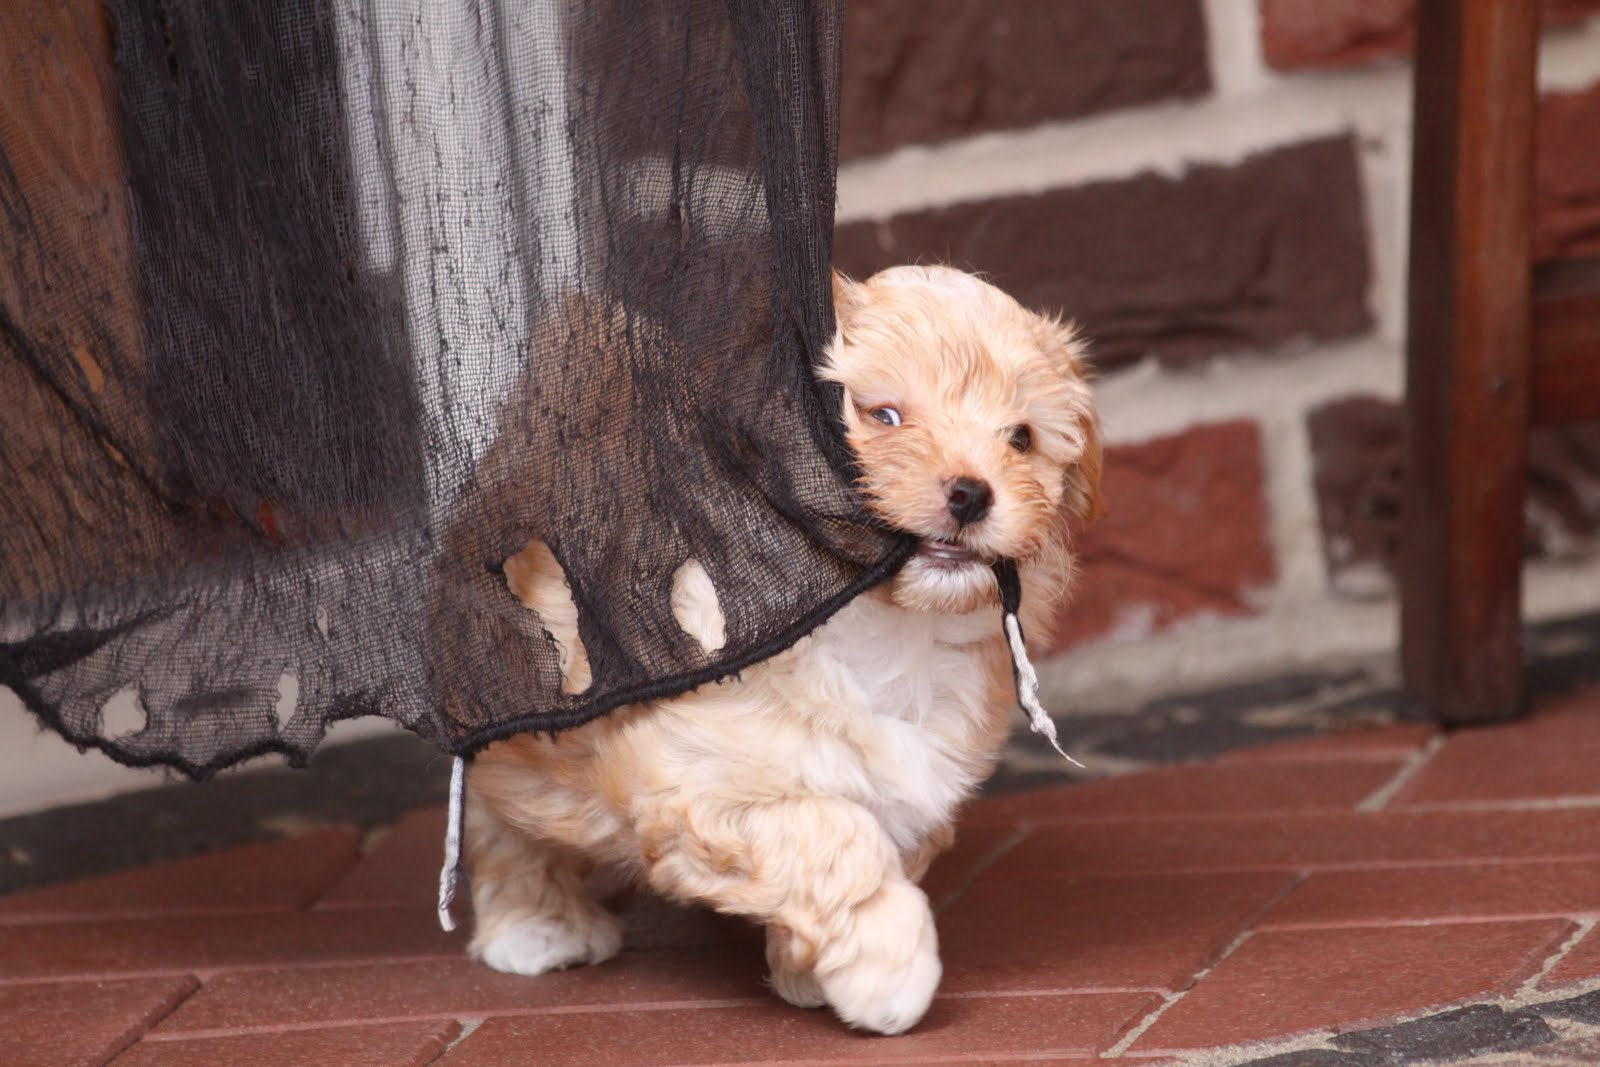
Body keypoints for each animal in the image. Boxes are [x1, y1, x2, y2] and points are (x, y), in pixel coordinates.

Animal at [457, 265, 1094, 1036]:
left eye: (1022, 438)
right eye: (883, 416)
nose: (971, 493)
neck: (883, 628)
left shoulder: (916, 782)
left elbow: (878, 841)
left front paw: (809, 970)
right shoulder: (700, 779)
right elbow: (833, 835)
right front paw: (888, 969)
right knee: (504, 819)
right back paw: (537, 927)